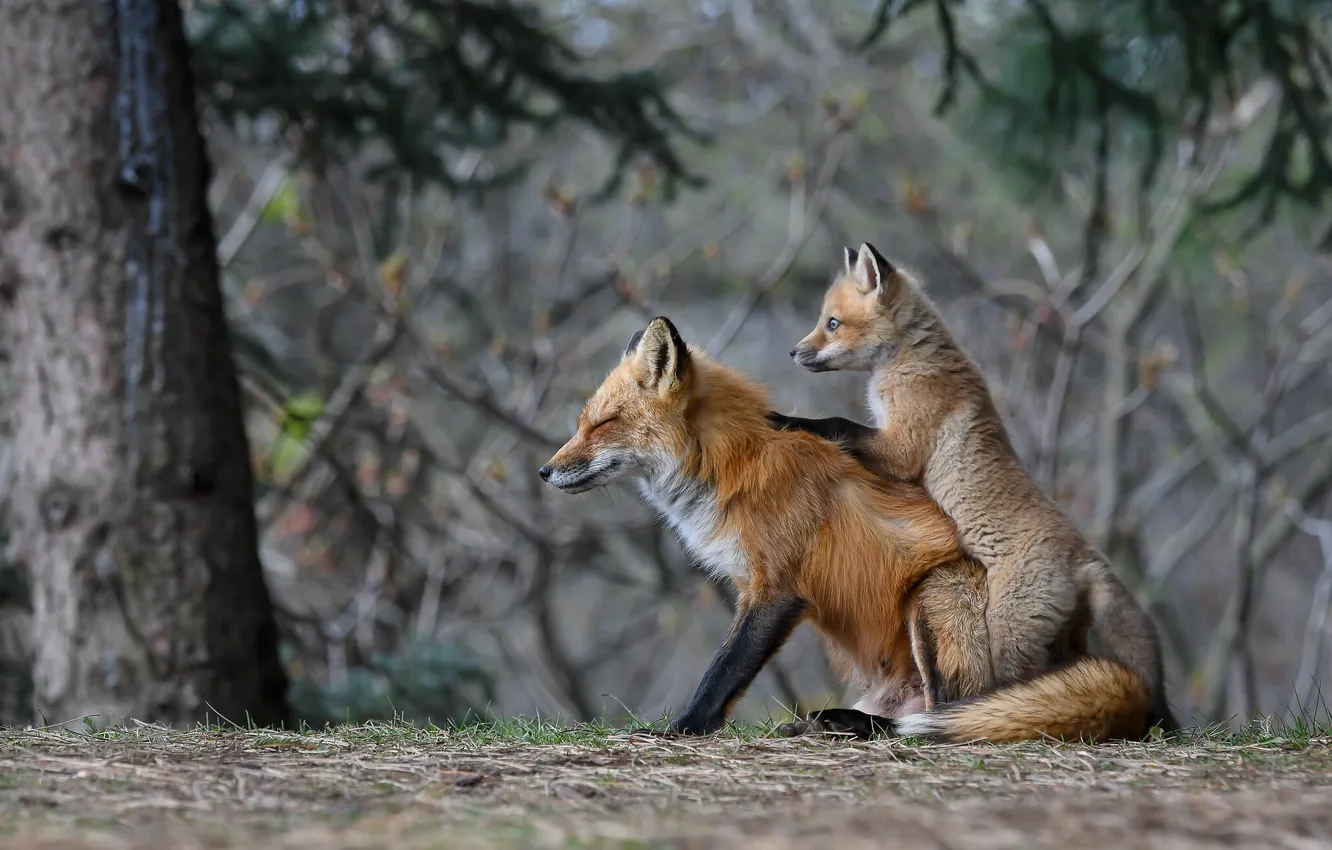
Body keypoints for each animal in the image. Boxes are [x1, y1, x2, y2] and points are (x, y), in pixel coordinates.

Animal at [539, 316, 1154, 742]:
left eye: (603, 424)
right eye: (582, 423)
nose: (544, 472)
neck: (729, 465)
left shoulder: (776, 589)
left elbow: (723, 672)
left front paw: (684, 727)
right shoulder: (751, 585)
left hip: (935, 599)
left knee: (950, 711)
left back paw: (861, 728)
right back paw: (829, 722)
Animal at [769, 243, 1178, 735]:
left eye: (832, 323)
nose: (792, 351)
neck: (910, 360)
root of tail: (1087, 557)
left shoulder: (901, 447)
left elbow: (835, 424)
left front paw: (784, 419)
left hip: (1007, 635)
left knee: (998, 690)